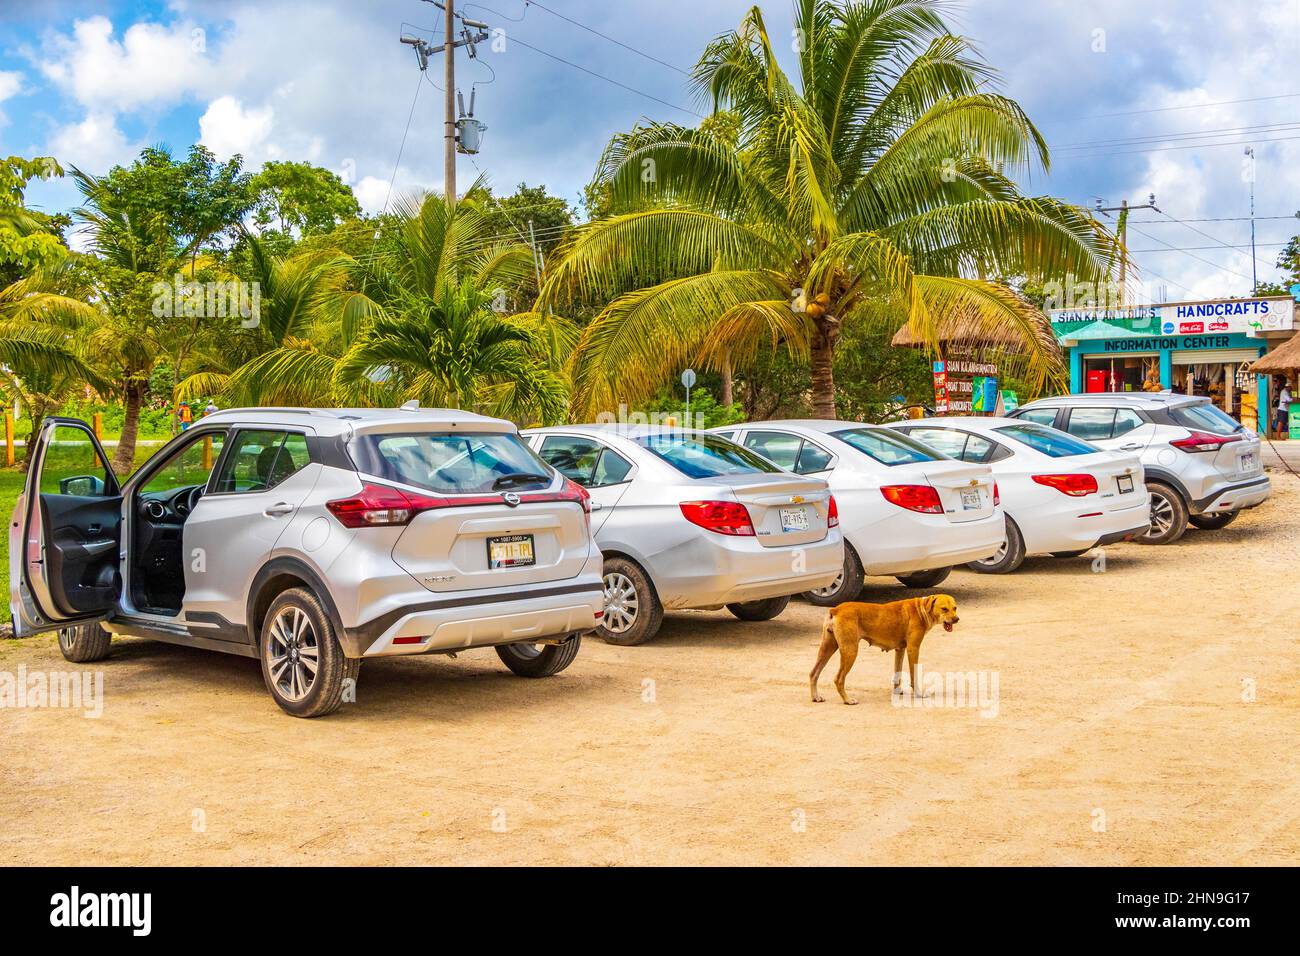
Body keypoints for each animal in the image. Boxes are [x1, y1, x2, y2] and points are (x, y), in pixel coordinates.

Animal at [806, 595, 961, 707]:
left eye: (955, 608)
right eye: (944, 609)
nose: (956, 619)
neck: (921, 609)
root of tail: (836, 610)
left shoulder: (900, 650)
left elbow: (897, 672)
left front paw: (897, 691)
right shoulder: (913, 649)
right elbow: (913, 675)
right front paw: (918, 693)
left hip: (827, 648)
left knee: (814, 673)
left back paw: (815, 697)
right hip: (850, 651)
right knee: (838, 679)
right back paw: (847, 700)